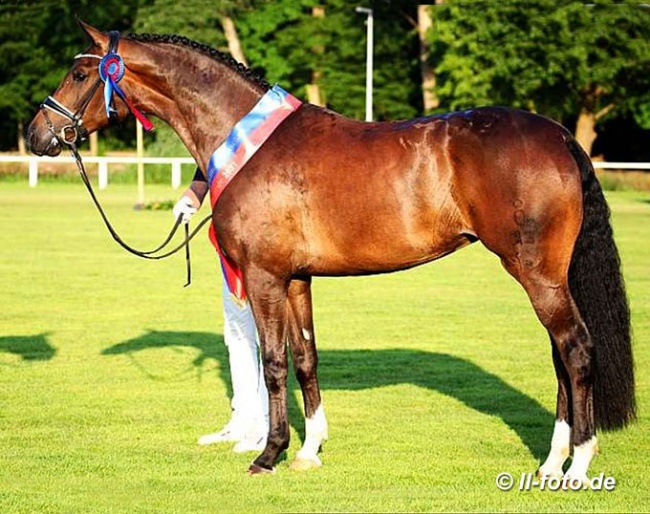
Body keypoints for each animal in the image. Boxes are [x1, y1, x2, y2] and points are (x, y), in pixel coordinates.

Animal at [26, 22, 632, 478]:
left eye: (80, 73)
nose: (36, 135)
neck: (248, 140)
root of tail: (558, 134)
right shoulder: (296, 279)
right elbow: (306, 359)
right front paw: (309, 450)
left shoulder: (265, 278)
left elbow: (273, 364)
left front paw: (268, 455)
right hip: (546, 277)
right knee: (559, 355)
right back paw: (551, 462)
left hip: (537, 275)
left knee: (576, 350)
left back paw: (578, 465)